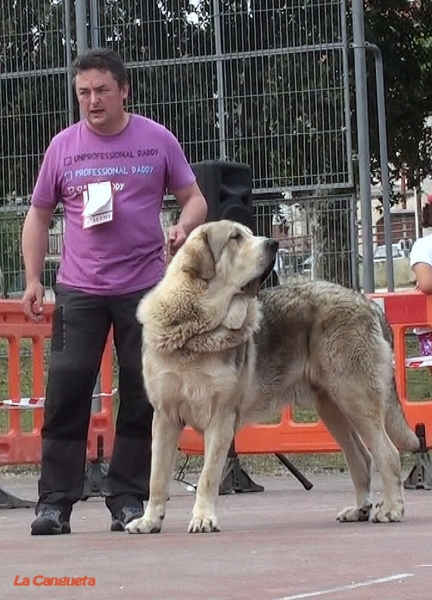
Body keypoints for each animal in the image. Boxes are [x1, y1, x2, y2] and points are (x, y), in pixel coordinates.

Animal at [126, 220, 420, 536]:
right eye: (235, 237)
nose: (273, 243)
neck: (195, 329)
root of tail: (369, 303)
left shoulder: (220, 419)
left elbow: (207, 476)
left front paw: (203, 518)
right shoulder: (165, 417)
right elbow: (157, 477)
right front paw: (149, 520)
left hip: (356, 398)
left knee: (387, 453)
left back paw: (391, 509)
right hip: (331, 406)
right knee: (362, 457)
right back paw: (360, 509)